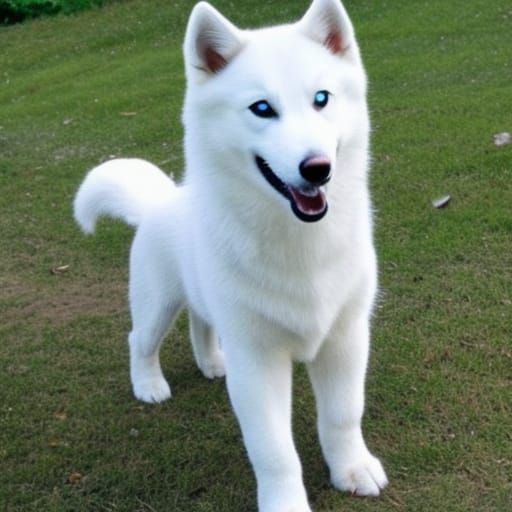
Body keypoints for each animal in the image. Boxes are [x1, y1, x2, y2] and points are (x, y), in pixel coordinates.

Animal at [74, 1, 388, 508]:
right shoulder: (257, 362)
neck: (298, 242)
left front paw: (352, 469)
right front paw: (286, 503)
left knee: (201, 324)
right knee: (139, 340)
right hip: (157, 305)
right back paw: (149, 385)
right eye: (262, 108)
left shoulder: (345, 339)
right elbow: (274, 452)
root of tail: (161, 200)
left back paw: (211, 363)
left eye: (321, 99)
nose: (317, 169)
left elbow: (343, 415)